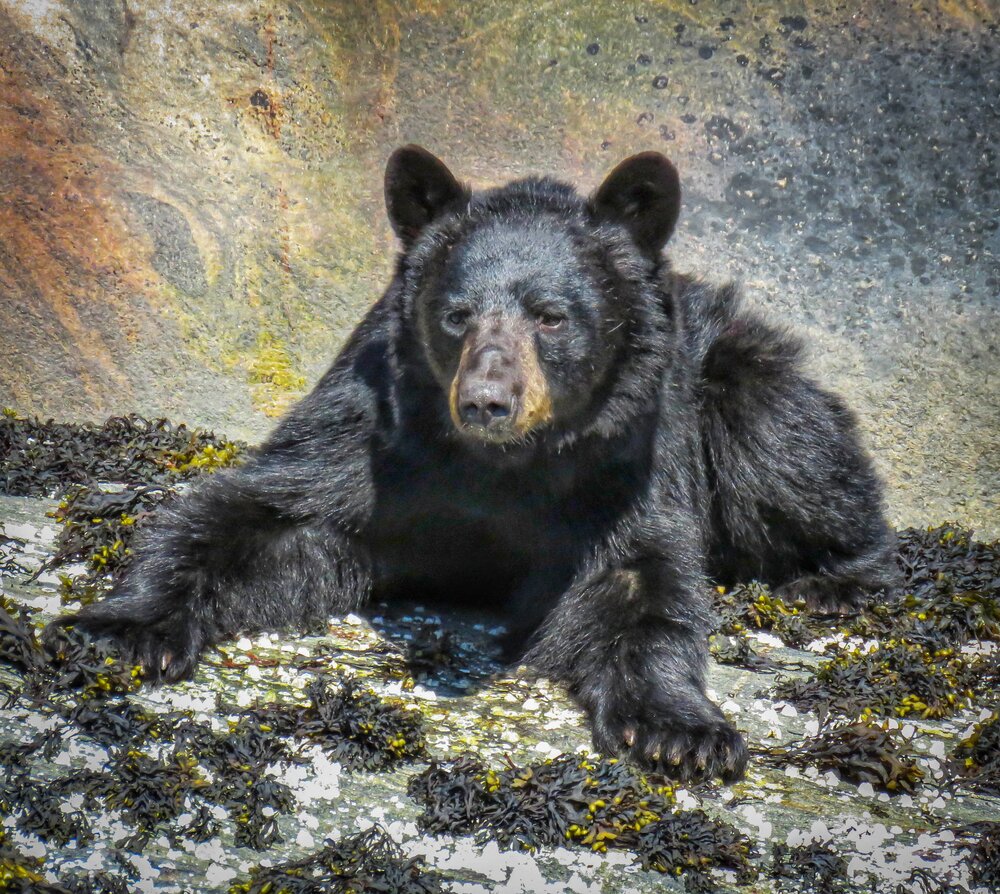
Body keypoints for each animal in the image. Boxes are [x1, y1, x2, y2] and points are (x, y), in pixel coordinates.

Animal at [62, 147, 896, 784]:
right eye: (457, 314)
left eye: (552, 316)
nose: (487, 400)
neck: (503, 466)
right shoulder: (372, 436)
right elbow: (260, 515)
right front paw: (124, 626)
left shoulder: (630, 461)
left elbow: (641, 580)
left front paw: (681, 731)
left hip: (738, 378)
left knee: (792, 453)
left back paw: (835, 580)